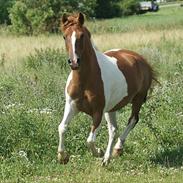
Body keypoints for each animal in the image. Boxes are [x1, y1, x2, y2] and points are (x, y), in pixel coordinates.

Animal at [57, 12, 156, 165]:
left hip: (137, 99)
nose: (74, 62)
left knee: (132, 120)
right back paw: (107, 158)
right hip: (112, 109)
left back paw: (117, 150)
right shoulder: (71, 105)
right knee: (113, 129)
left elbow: (90, 140)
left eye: (82, 35)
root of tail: (141, 59)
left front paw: (98, 152)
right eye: (64, 36)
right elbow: (62, 128)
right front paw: (62, 157)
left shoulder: (98, 112)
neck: (85, 81)